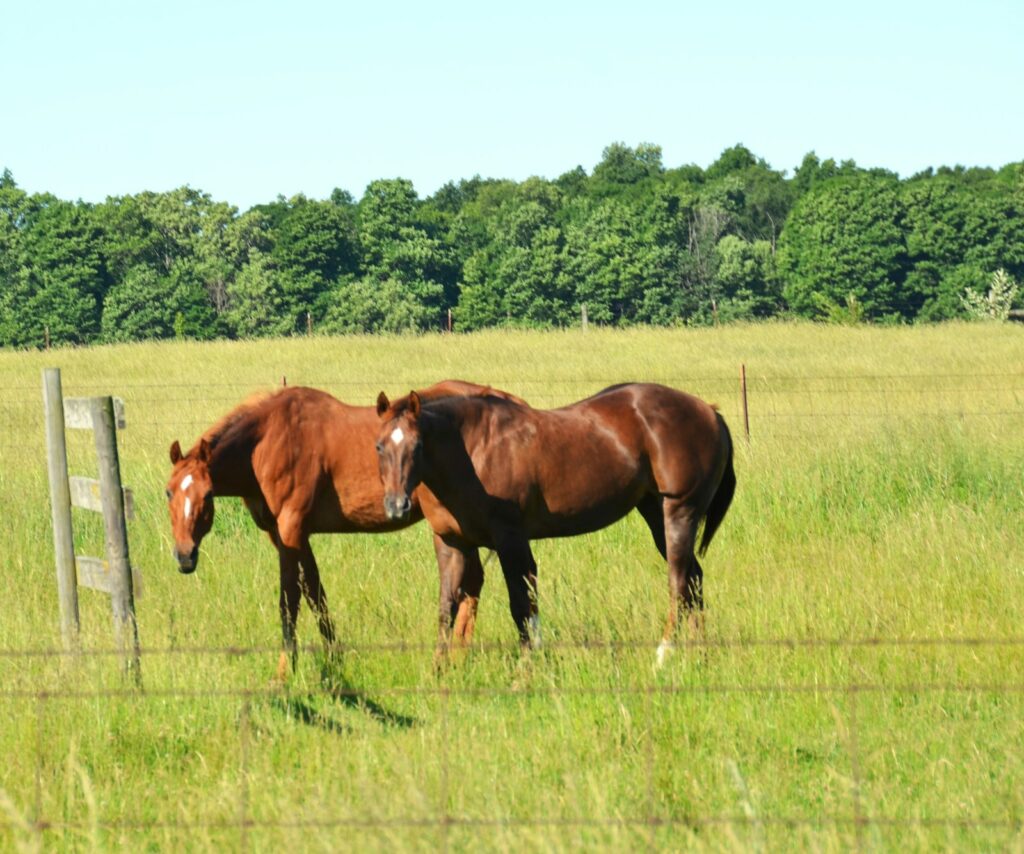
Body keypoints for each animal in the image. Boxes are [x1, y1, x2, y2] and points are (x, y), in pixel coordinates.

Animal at [166, 380, 525, 679]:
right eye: (169, 492)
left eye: (207, 495)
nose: (185, 557)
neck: (269, 440)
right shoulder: (289, 535)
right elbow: (315, 592)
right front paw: (335, 657)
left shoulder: (291, 528)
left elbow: (290, 601)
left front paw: (284, 672)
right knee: (473, 582)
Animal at [373, 383, 735, 663]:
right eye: (379, 446)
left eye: (417, 445)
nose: (396, 506)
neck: (473, 451)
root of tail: (709, 412)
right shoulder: (451, 542)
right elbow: (446, 608)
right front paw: (439, 672)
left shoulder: (510, 540)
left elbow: (521, 607)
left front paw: (526, 670)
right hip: (655, 513)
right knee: (694, 581)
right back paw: (698, 655)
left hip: (679, 513)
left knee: (679, 584)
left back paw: (663, 656)